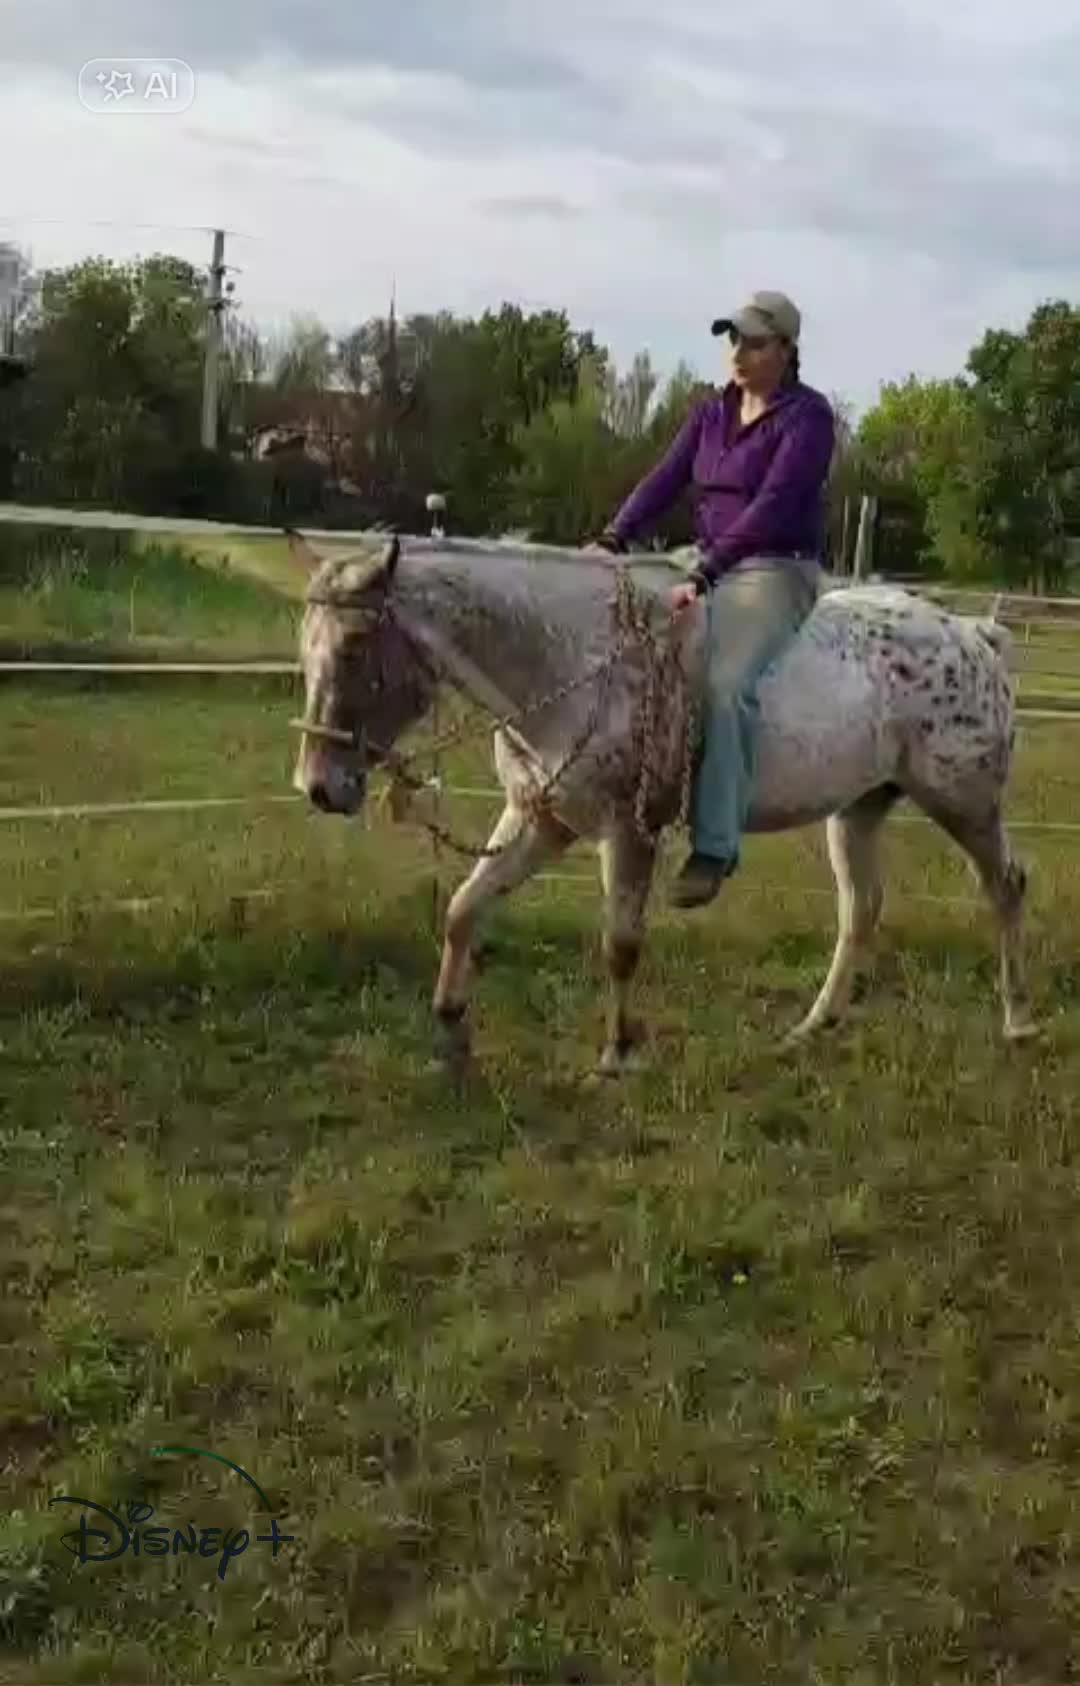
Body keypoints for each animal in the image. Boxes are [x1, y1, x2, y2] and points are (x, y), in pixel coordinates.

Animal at [286, 528, 1037, 1076]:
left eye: (355, 647)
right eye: (307, 647)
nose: (318, 787)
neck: (579, 661)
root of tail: (973, 634)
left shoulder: (629, 831)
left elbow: (620, 944)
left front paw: (618, 1054)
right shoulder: (541, 821)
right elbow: (465, 909)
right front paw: (450, 1027)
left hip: (965, 803)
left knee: (1005, 887)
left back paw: (1018, 1022)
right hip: (857, 811)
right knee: (861, 909)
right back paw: (810, 1027)